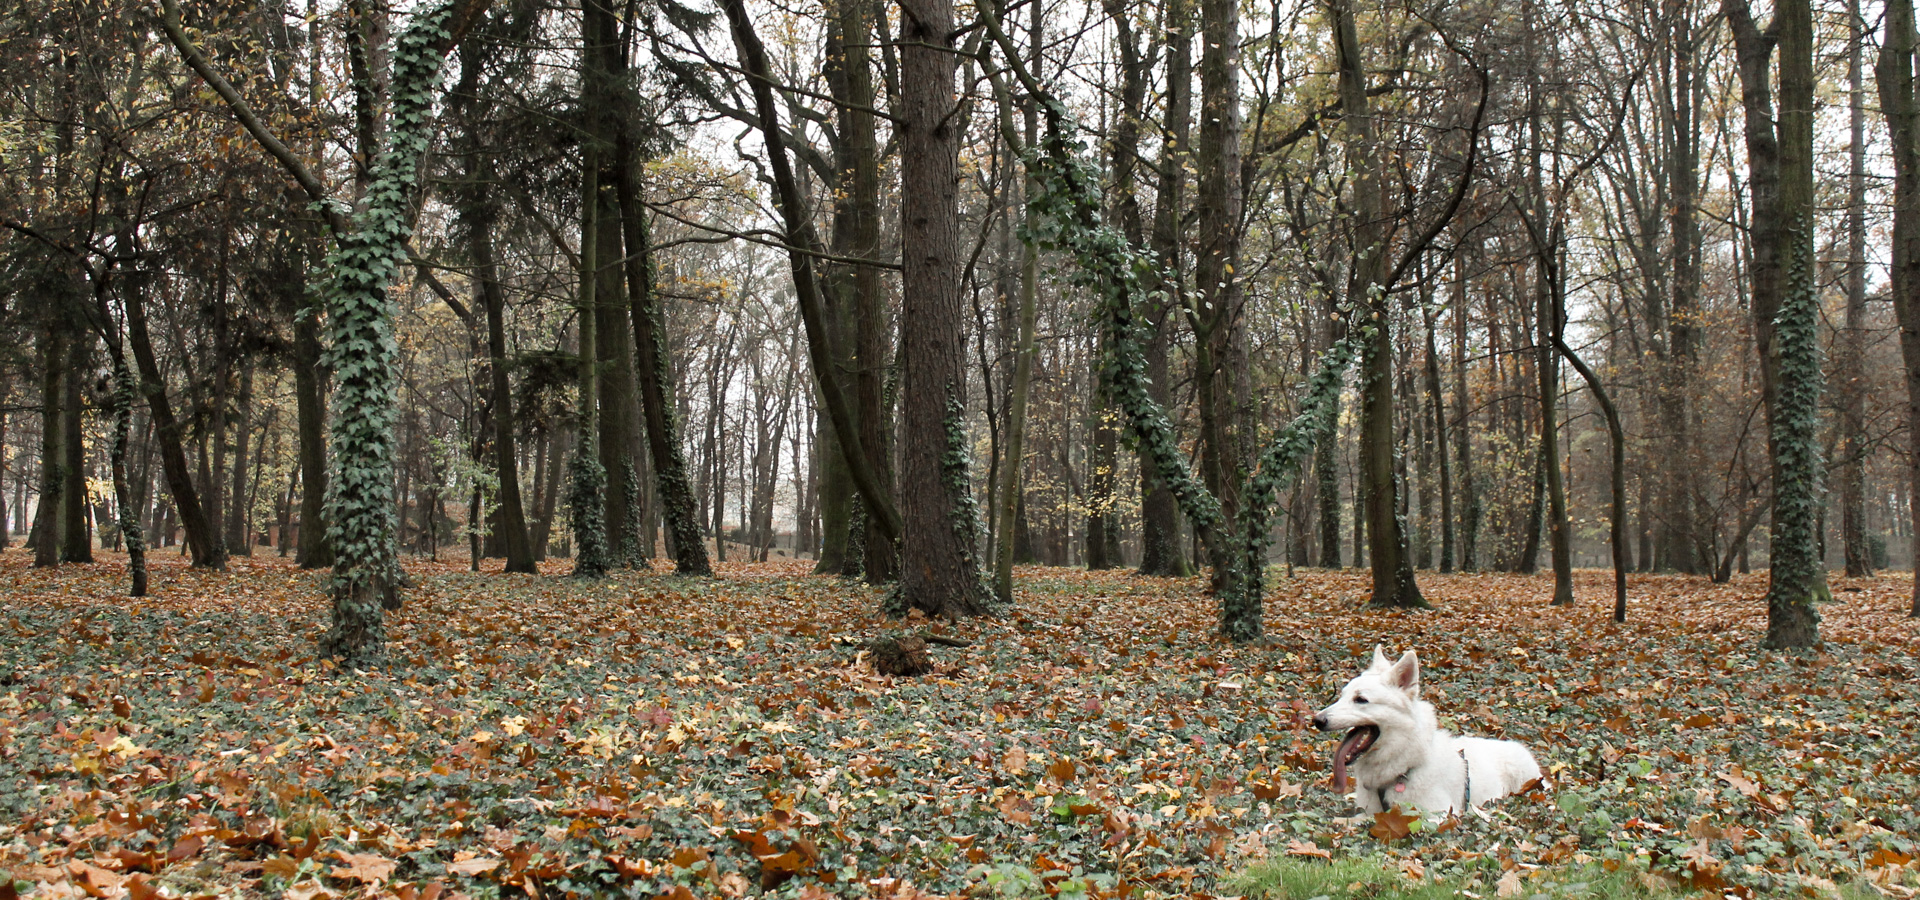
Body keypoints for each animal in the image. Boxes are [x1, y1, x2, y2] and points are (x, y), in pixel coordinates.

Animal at [1312, 646, 1540, 816]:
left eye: (1361, 699)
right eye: (1342, 696)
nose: (1317, 720)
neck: (1403, 770)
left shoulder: (1437, 817)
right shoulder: (1367, 814)